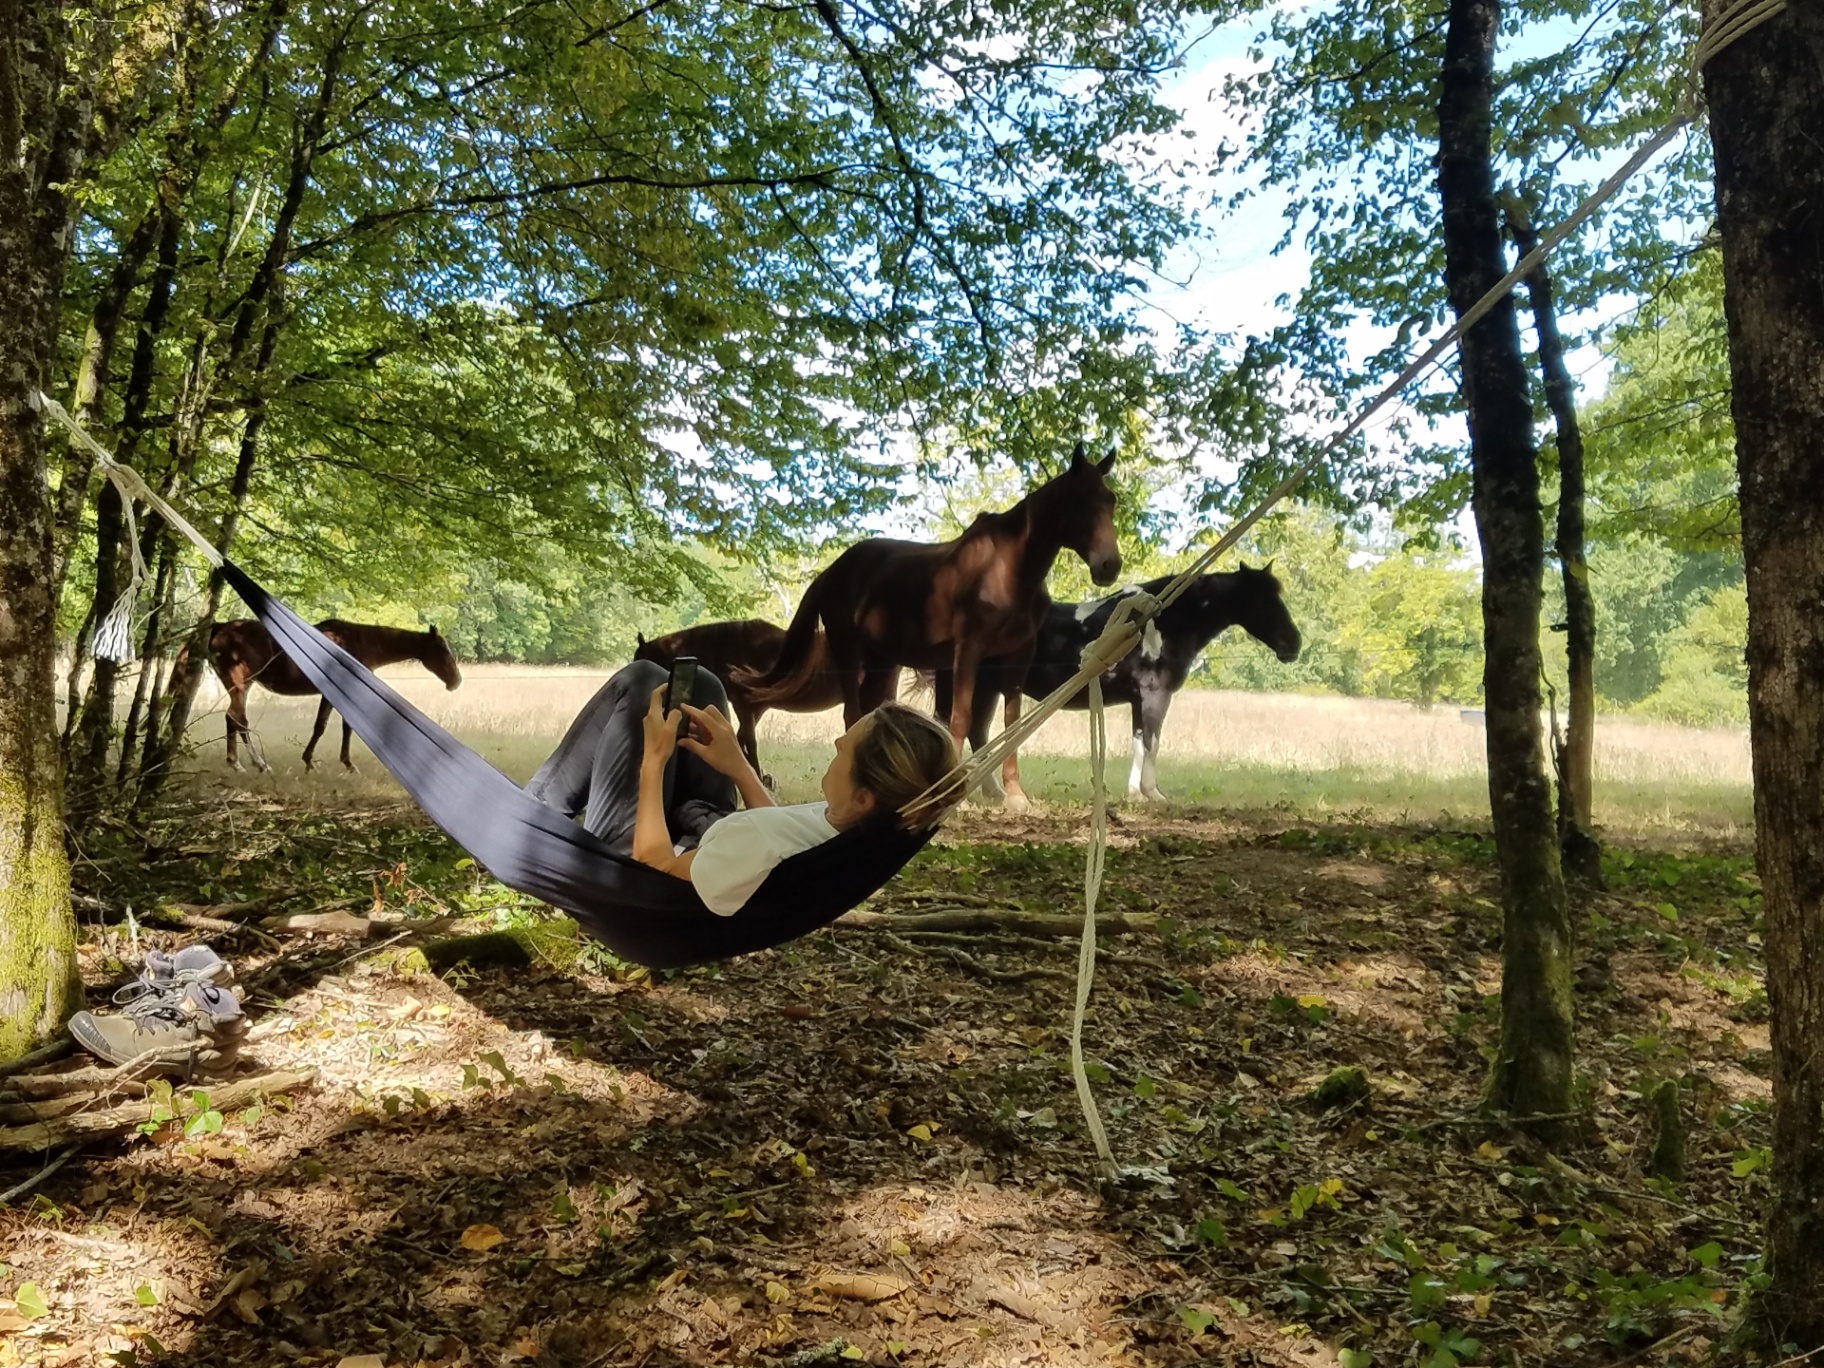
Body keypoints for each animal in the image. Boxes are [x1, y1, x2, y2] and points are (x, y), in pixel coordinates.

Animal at [192, 617, 463, 773]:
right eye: (442, 649)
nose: (456, 681)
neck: (359, 643)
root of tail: (222, 628)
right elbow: (330, 726)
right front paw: (339, 763)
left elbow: (329, 726)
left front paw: (317, 761)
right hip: (240, 685)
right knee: (236, 719)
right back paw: (253, 763)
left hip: (240, 688)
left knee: (235, 719)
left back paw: (239, 762)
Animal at [632, 619, 846, 786]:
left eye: (642, 660)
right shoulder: (755, 707)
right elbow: (742, 737)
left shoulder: (743, 704)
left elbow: (749, 740)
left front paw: (758, 776)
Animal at [740, 442, 1122, 767]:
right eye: (1080, 502)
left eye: (1111, 500)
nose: (1110, 565)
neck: (1007, 570)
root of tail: (830, 571)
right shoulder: (967, 652)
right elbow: (960, 719)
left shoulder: (1018, 655)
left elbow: (1012, 723)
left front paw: (1014, 796)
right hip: (850, 653)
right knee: (852, 714)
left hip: (882, 662)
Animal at [931, 563, 1302, 803]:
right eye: (1262, 599)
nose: (1293, 644)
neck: (1164, 622)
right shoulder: (1154, 696)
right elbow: (1150, 742)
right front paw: (1150, 793)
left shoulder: (1142, 700)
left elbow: (1143, 742)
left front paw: (1140, 793)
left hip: (987, 690)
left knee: (977, 732)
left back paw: (992, 792)